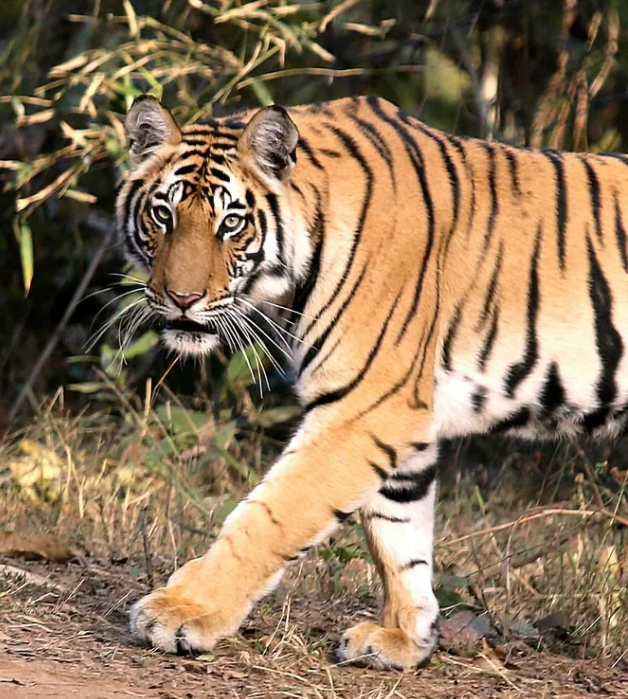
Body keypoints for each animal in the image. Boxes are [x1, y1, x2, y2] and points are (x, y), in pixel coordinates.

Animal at [116, 93, 628, 670]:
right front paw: (403, 638)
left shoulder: (363, 408)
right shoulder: (398, 414)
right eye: (163, 214)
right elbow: (398, 534)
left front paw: (183, 610)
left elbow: (270, 515)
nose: (181, 299)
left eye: (231, 222)